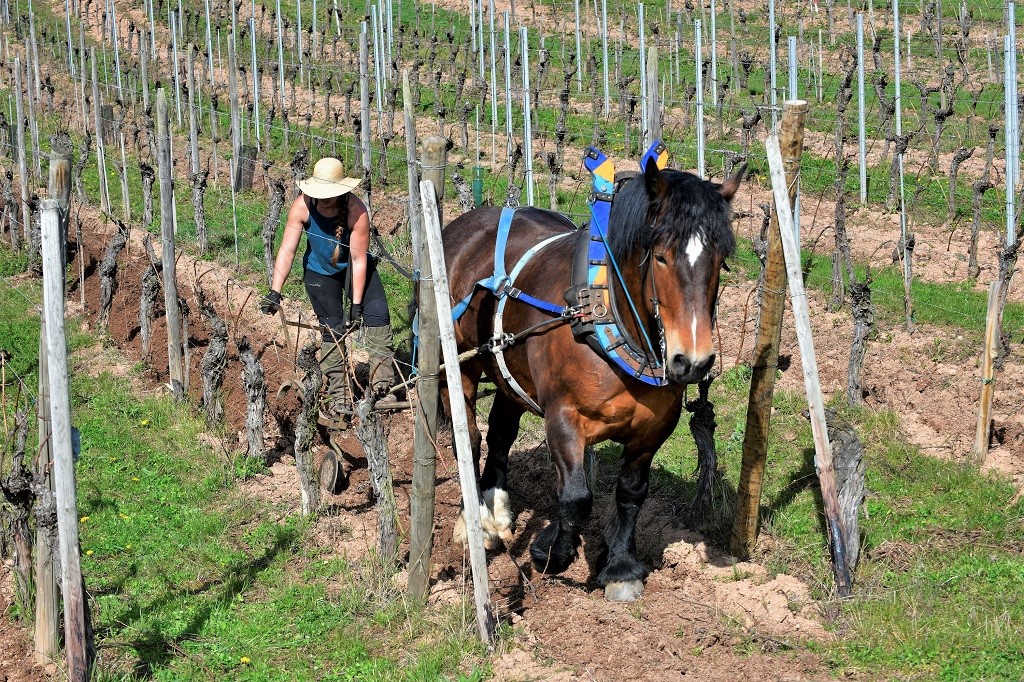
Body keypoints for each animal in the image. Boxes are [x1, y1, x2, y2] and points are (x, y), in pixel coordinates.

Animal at [440, 156, 745, 598]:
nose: (692, 361)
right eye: (661, 257)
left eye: (720, 259)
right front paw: (550, 551)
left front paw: (620, 568)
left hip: (508, 368)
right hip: (459, 363)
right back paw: (475, 523)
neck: (604, 318)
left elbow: (631, 493)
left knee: (500, 432)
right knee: (470, 437)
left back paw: (496, 509)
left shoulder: (654, 429)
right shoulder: (563, 416)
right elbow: (576, 496)